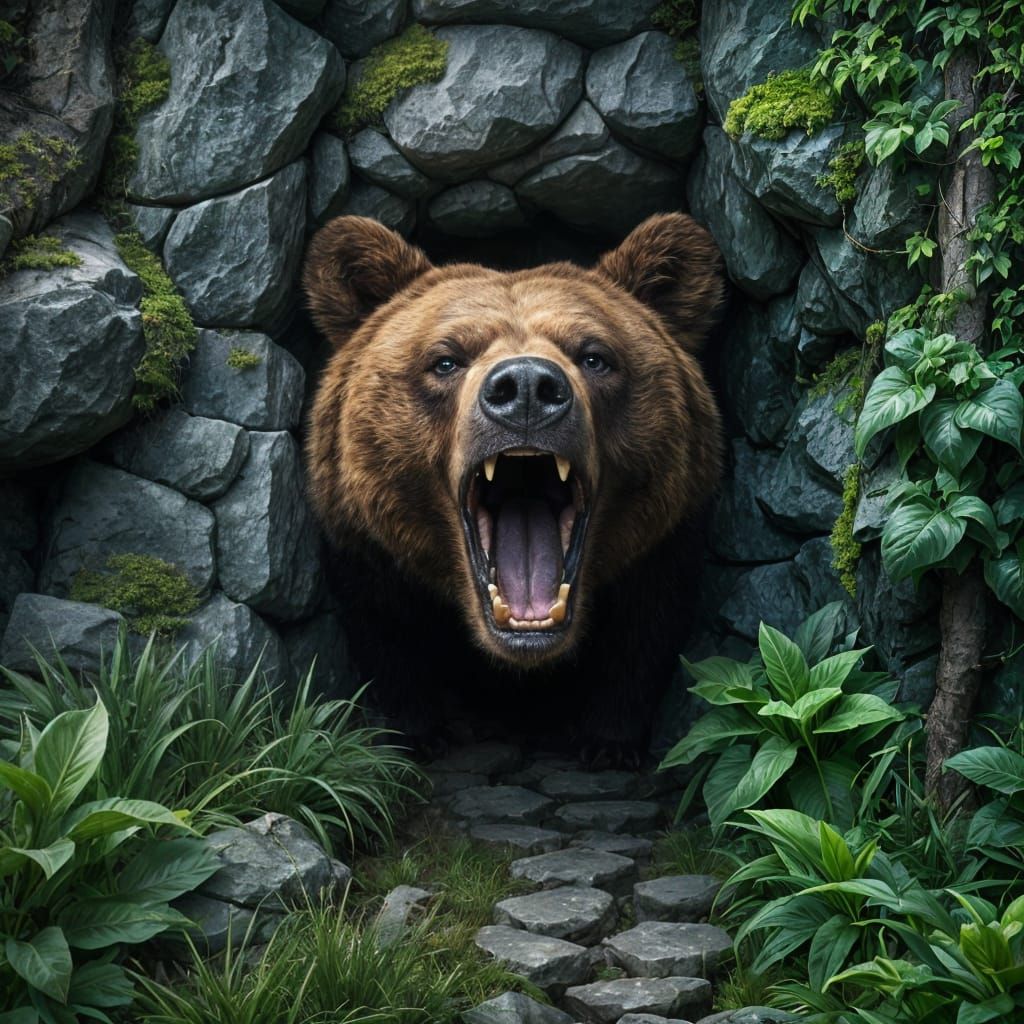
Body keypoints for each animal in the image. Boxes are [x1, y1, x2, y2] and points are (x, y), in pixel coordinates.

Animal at [302, 212, 725, 763]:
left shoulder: (666, 539)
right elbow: (385, 628)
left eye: (595, 356)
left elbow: (647, 626)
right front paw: (418, 732)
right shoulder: (366, 545)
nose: (526, 387)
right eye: (445, 359)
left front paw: (608, 741)